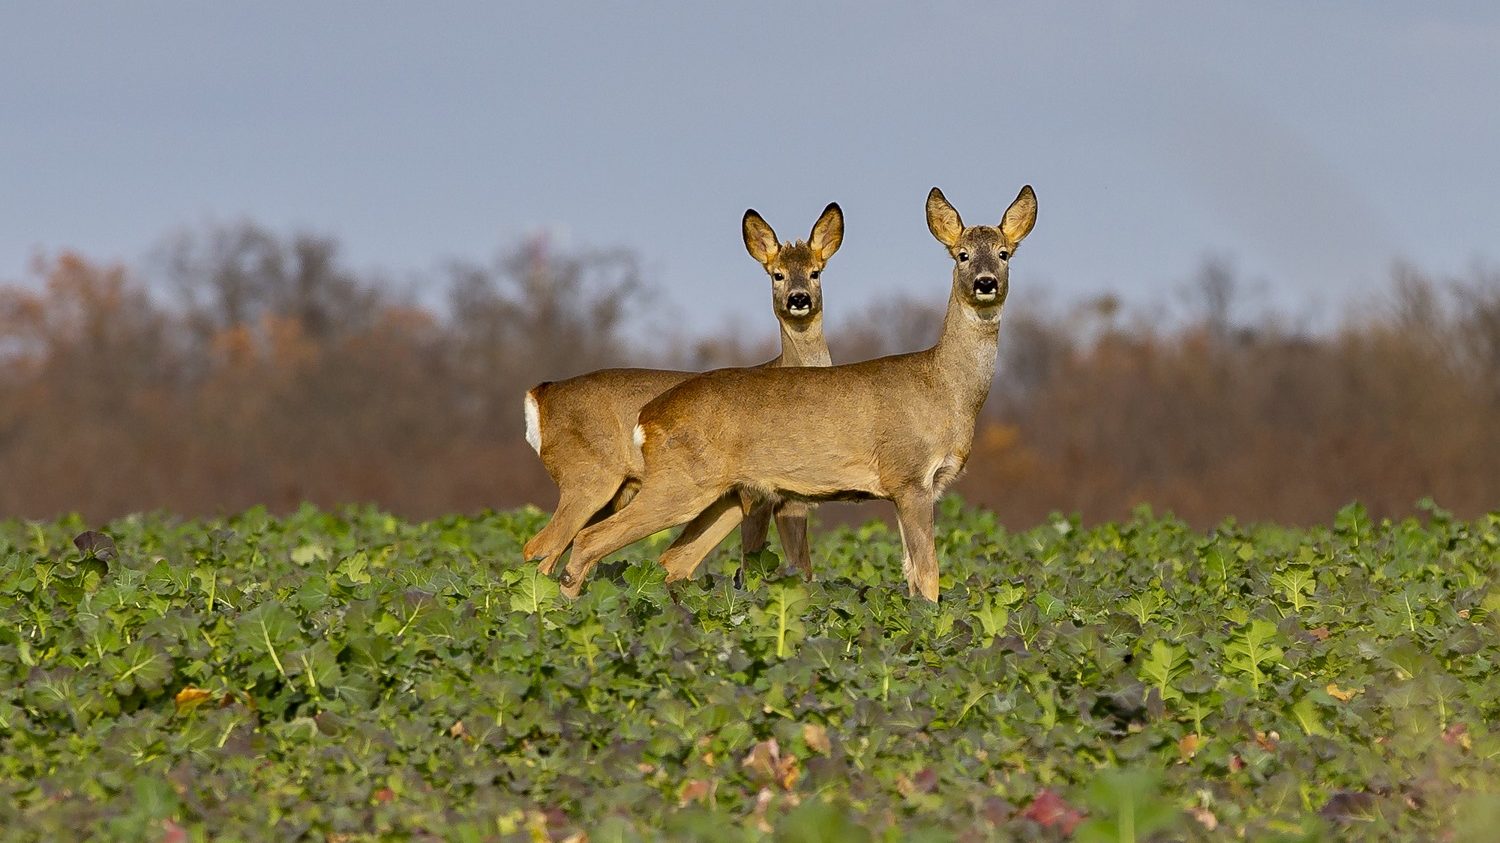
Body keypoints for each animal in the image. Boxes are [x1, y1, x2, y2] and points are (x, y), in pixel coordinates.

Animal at [519, 204, 846, 576]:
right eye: (777, 275)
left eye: (815, 272)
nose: (799, 299)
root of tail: (540, 394)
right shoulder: (758, 494)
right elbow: (754, 562)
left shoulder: (789, 499)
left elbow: (800, 566)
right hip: (586, 477)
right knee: (541, 546)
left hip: (616, 491)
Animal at [558, 186, 1038, 600]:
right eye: (961, 254)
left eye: (1004, 253)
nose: (985, 283)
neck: (944, 388)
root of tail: (649, 415)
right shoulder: (908, 476)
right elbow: (929, 574)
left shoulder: (916, 487)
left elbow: (911, 575)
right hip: (680, 483)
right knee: (588, 539)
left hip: (721, 495)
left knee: (670, 560)